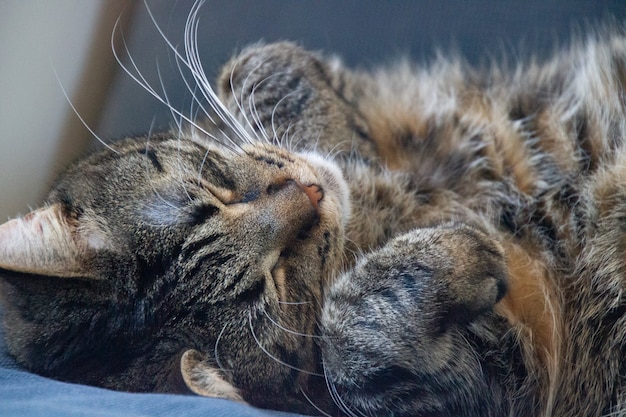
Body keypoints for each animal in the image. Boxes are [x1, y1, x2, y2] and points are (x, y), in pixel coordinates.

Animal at [1, 1, 624, 414]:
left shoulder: (277, 72)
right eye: (275, 284)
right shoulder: (513, 377)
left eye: (213, 196)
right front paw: (458, 250)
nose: (311, 193)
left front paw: (346, 147)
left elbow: (264, 63)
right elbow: (350, 340)